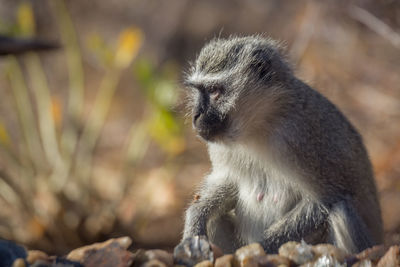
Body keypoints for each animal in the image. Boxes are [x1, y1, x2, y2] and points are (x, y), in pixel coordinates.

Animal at [180, 35, 382, 255]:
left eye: (214, 91)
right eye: (199, 91)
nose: (196, 116)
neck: (260, 125)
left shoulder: (303, 136)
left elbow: (325, 200)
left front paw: (260, 248)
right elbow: (226, 182)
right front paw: (196, 218)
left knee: (341, 210)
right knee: (215, 219)